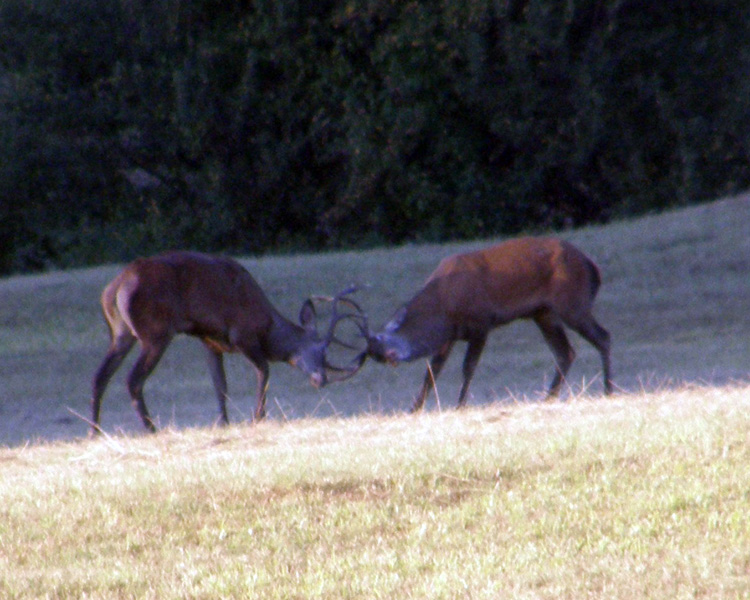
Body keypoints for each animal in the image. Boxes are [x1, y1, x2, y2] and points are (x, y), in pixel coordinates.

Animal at [88, 251, 364, 434]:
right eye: (320, 351)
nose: (322, 379)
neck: (266, 328)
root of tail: (115, 289)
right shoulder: (242, 334)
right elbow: (264, 371)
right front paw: (258, 417)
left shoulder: (210, 341)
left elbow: (220, 385)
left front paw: (223, 422)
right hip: (154, 333)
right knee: (133, 379)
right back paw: (152, 428)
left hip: (121, 333)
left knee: (100, 376)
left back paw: (94, 431)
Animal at [356, 237, 612, 410]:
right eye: (374, 356)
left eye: (379, 342)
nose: (391, 358)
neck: (444, 306)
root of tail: (592, 266)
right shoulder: (449, 335)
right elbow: (432, 370)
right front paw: (414, 408)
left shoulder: (481, 322)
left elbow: (468, 367)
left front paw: (460, 405)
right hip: (543, 313)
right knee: (565, 351)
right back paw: (548, 398)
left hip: (572, 302)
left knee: (603, 336)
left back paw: (608, 389)